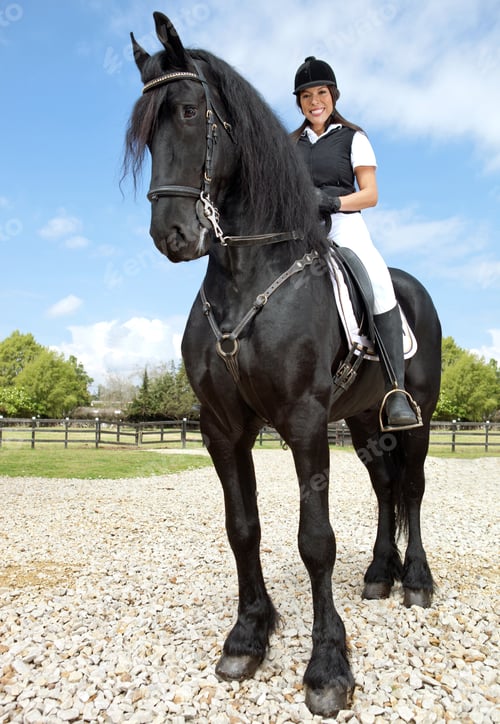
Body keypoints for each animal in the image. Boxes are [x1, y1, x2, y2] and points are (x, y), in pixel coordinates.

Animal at [124, 12, 441, 717]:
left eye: (190, 112)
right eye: (143, 130)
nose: (172, 236)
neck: (249, 275)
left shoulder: (302, 420)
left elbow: (314, 540)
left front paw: (327, 669)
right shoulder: (222, 428)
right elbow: (242, 527)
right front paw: (248, 635)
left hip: (419, 419)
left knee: (409, 487)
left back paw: (415, 581)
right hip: (362, 422)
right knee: (385, 488)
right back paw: (379, 575)